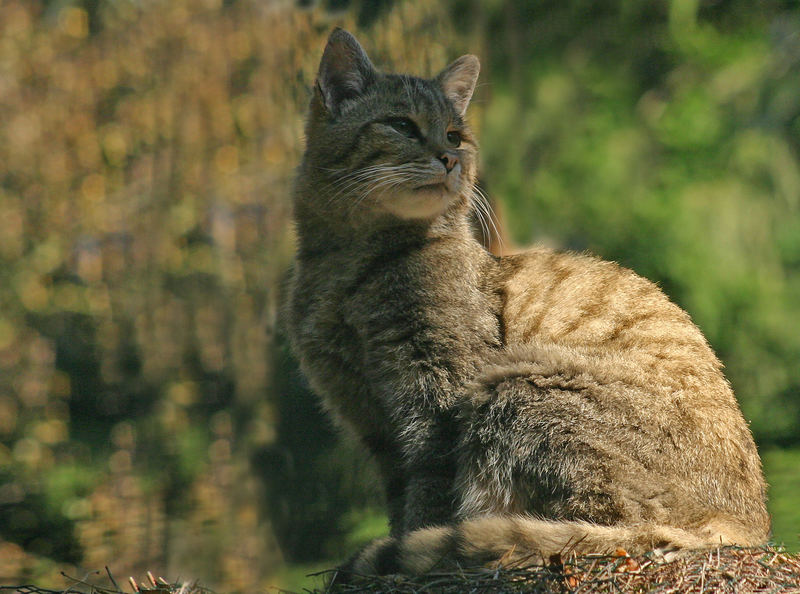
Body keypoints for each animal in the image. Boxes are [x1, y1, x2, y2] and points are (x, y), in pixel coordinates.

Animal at [286, 28, 768, 580]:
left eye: (454, 136)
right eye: (402, 125)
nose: (449, 158)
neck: (347, 269)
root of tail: (752, 527)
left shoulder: (435, 398)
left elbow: (429, 493)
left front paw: (411, 545)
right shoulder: (370, 418)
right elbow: (399, 496)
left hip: (519, 385)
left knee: (620, 528)